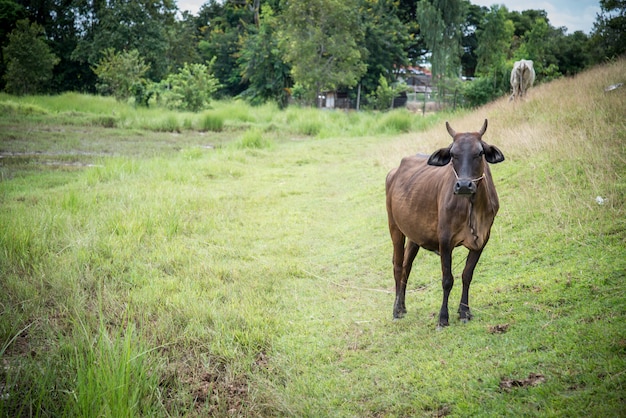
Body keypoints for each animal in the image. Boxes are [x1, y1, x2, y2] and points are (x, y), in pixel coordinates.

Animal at [386, 119, 502, 328]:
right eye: (453, 154)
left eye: (480, 153)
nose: (464, 185)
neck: (472, 207)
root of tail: (393, 172)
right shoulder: (445, 239)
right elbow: (447, 280)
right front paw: (443, 318)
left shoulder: (482, 239)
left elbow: (467, 275)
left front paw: (464, 312)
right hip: (395, 227)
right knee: (398, 265)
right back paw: (397, 309)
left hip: (414, 236)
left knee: (407, 265)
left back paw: (403, 306)